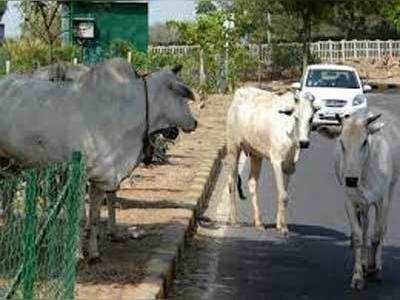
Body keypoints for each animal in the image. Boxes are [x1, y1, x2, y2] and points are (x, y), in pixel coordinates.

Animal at [0, 57, 198, 262]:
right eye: (181, 96)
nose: (194, 123)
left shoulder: (101, 177)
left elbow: (94, 217)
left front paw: (93, 252)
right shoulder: (79, 176)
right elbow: (79, 218)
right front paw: (77, 253)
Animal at [227, 86, 318, 234]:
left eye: (311, 118)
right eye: (296, 118)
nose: (304, 142)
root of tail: (239, 92)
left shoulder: (289, 167)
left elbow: (283, 194)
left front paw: (279, 224)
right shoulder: (276, 161)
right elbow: (283, 195)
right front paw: (284, 228)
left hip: (256, 154)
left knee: (252, 182)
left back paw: (258, 222)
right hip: (233, 147)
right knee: (232, 180)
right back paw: (234, 220)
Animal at [318, 113, 398, 290]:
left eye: (364, 142)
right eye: (341, 142)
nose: (351, 180)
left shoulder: (382, 200)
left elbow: (377, 234)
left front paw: (373, 268)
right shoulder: (350, 201)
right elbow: (358, 237)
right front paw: (358, 276)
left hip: (390, 191)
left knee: (381, 229)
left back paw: (375, 265)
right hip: (363, 204)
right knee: (365, 226)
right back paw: (364, 262)